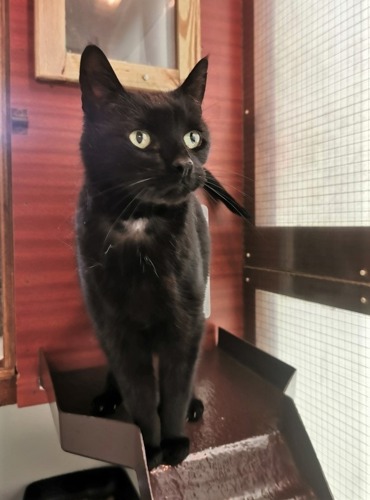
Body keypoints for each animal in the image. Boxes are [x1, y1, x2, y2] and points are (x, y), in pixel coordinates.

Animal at [76, 45, 249, 470]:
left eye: (193, 137)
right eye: (140, 138)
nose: (185, 164)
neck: (141, 223)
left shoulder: (184, 322)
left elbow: (174, 388)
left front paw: (174, 441)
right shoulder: (116, 328)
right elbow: (139, 392)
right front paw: (150, 448)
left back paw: (194, 406)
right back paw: (108, 396)